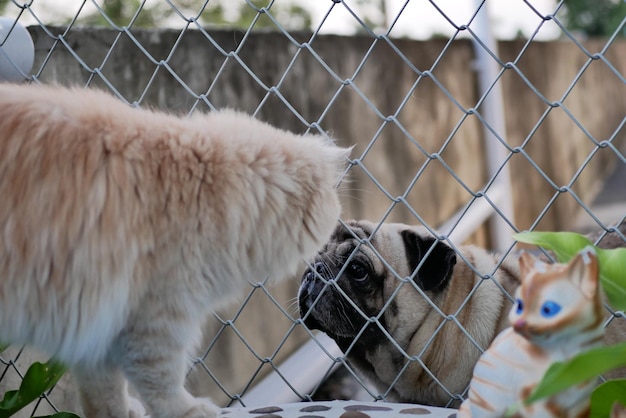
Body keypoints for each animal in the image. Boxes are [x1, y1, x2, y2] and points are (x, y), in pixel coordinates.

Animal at [0, 83, 352, 416]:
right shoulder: (156, 319)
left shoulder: (99, 329)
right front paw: (188, 410)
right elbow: (162, 382)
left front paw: (122, 413)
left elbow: (106, 394)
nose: (341, 223)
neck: (206, 186)